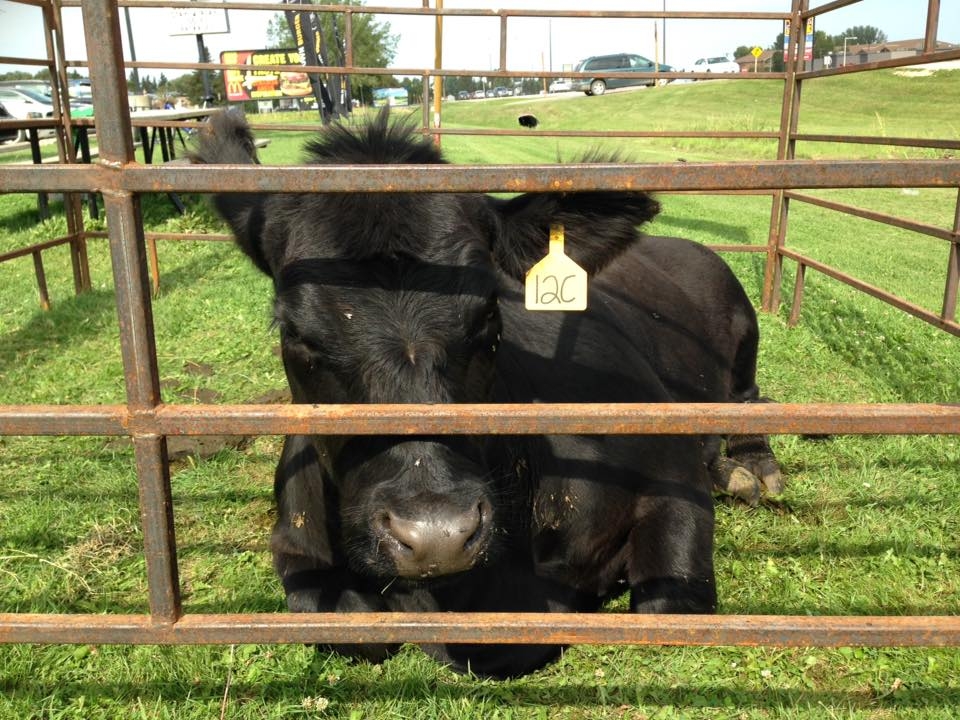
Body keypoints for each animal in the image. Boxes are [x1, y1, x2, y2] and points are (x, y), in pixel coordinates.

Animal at [193, 109, 780, 676]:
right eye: (297, 335)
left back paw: (749, 469)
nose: (437, 534)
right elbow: (353, 625)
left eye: (489, 316)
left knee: (753, 401)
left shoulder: (669, 467)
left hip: (743, 330)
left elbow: (665, 604)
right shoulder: (297, 544)